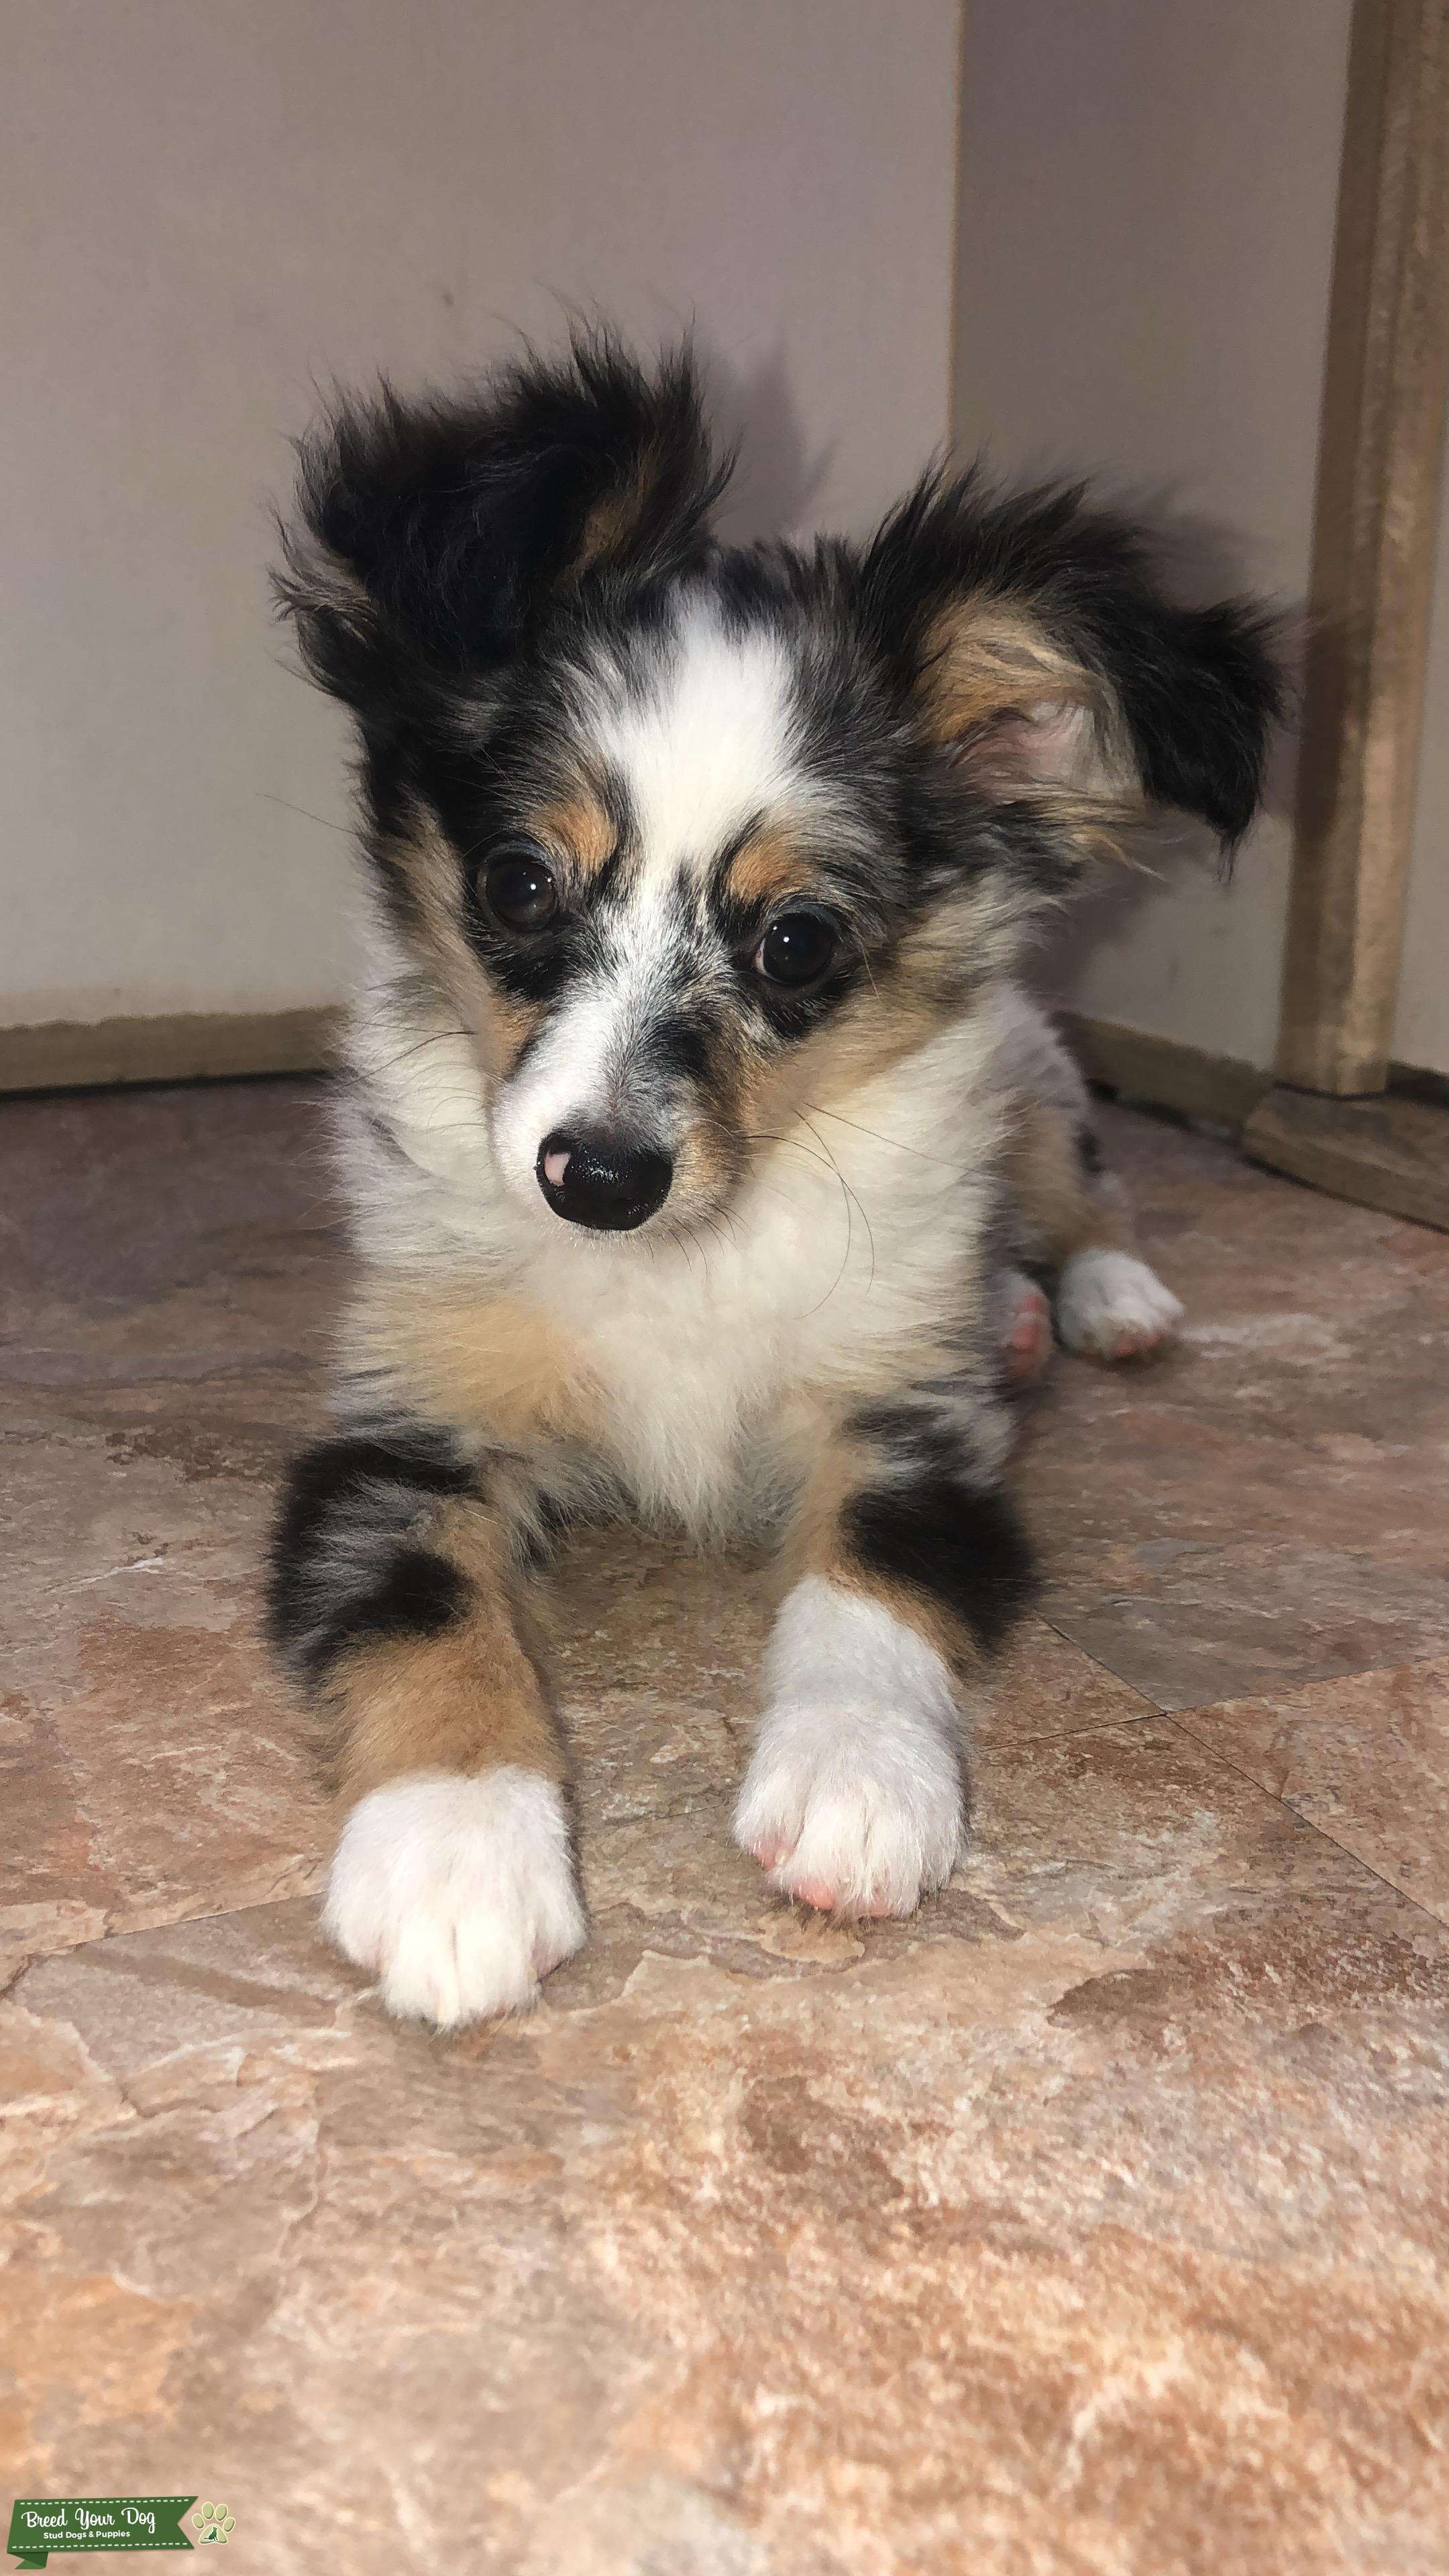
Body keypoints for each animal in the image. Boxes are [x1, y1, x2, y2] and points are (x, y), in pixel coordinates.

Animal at [262, 332, 1273, 2029]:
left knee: (1084, 1198)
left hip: (1030, 1083)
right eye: (516, 883)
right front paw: (457, 1858)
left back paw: (1102, 1303)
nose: (598, 1178)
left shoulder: (904, 1411)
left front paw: (859, 1784)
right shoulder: (407, 1421)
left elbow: (871, 1567)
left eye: (794, 942)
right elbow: (425, 1605)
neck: (687, 1257)